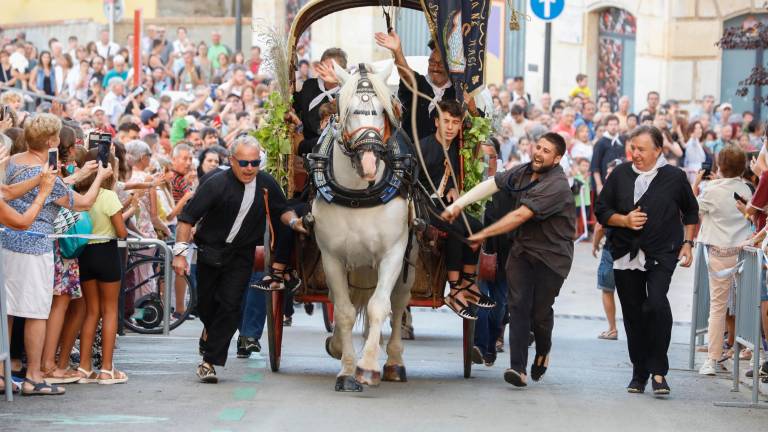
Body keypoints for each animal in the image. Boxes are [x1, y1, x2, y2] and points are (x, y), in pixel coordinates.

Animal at [314, 61, 414, 392]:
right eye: (346, 109)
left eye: (384, 110)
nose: (369, 162)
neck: (359, 193)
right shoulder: (331, 256)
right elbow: (344, 312)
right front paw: (347, 369)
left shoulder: (394, 252)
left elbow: (379, 306)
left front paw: (368, 366)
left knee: (398, 304)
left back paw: (393, 362)